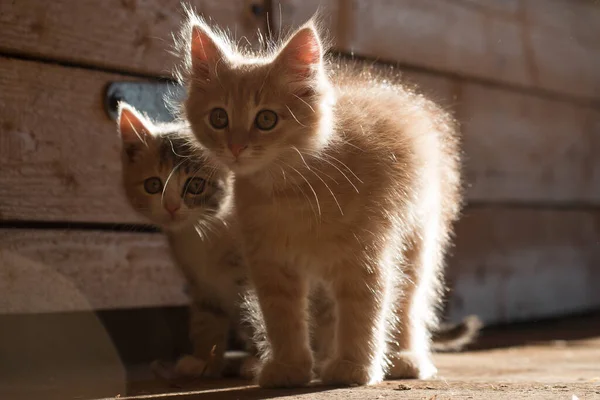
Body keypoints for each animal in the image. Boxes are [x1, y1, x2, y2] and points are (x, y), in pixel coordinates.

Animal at [117, 103, 255, 378]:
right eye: (153, 185)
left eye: (195, 186)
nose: (171, 207)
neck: (202, 235)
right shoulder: (201, 285)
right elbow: (206, 319)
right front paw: (203, 360)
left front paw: (263, 361)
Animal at [180, 15, 462, 388]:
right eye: (219, 118)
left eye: (266, 119)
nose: (236, 147)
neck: (290, 192)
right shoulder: (270, 263)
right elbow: (282, 318)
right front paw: (290, 367)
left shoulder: (364, 257)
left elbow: (363, 312)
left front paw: (353, 366)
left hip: (417, 241)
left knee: (408, 302)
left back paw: (406, 357)